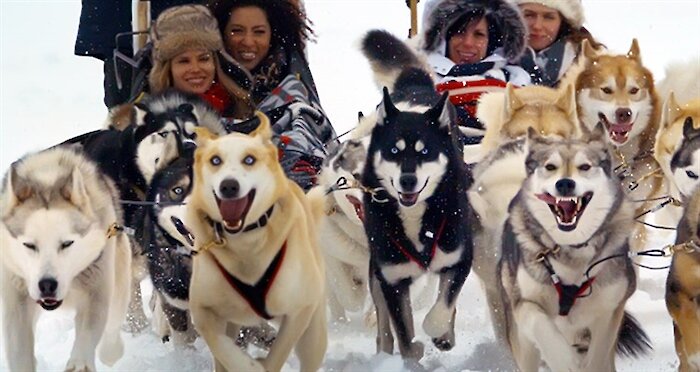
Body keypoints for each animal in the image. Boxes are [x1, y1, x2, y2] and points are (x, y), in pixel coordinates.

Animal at [0, 147, 132, 370]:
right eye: (29, 245)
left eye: (67, 243)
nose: (47, 285)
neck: (47, 178)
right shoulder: (17, 299)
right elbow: (19, 352)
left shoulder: (95, 292)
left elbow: (87, 336)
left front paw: (80, 364)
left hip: (118, 280)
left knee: (113, 325)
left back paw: (111, 352)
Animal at [186, 113, 328, 372]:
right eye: (215, 160)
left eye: (249, 159)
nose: (228, 185)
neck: (245, 243)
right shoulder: (203, 310)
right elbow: (221, 345)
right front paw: (248, 365)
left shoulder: (299, 310)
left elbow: (278, 353)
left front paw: (262, 365)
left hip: (313, 335)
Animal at [358, 29, 474, 360]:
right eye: (394, 151)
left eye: (425, 152)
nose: (408, 180)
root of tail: (415, 87)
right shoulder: (392, 278)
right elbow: (404, 334)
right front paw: (412, 353)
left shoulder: (459, 257)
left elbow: (442, 308)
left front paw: (440, 335)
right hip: (377, 268)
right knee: (383, 325)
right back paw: (383, 353)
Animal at [498, 126, 652, 370]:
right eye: (550, 167)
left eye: (585, 166)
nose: (565, 183)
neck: (571, 249)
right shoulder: (523, 303)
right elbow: (539, 321)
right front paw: (563, 358)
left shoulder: (609, 312)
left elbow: (598, 355)